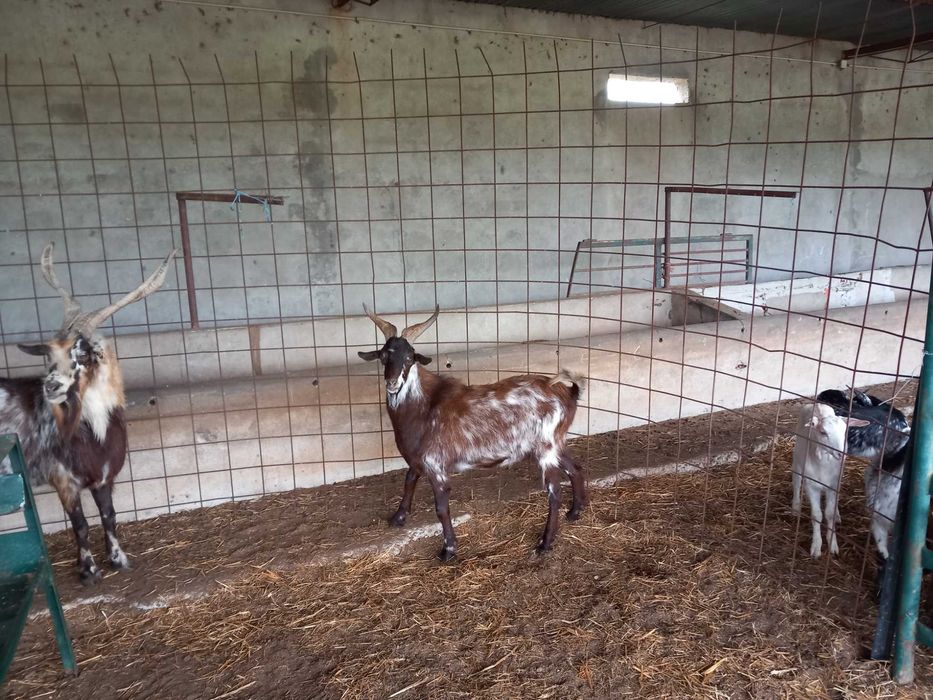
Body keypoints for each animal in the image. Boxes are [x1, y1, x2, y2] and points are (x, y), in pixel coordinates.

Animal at [0, 243, 175, 583]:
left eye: (82, 353)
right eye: (49, 356)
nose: (51, 386)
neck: (94, 432)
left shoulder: (104, 477)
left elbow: (109, 516)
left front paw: (118, 559)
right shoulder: (63, 480)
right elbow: (80, 525)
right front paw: (89, 570)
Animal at [358, 305, 586, 561]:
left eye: (409, 357)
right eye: (383, 356)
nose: (392, 382)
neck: (423, 407)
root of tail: (568, 394)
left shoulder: (436, 465)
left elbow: (441, 508)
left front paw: (448, 550)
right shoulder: (418, 460)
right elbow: (409, 480)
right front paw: (398, 517)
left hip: (546, 448)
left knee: (554, 492)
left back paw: (545, 543)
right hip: (554, 444)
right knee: (575, 468)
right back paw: (575, 511)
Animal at [791, 402, 868, 558]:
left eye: (845, 432)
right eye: (823, 432)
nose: (841, 453)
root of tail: (818, 404)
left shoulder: (834, 483)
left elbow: (829, 514)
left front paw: (832, 543)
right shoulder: (811, 485)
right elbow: (817, 515)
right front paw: (816, 546)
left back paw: (838, 514)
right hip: (797, 460)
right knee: (796, 481)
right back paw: (796, 507)